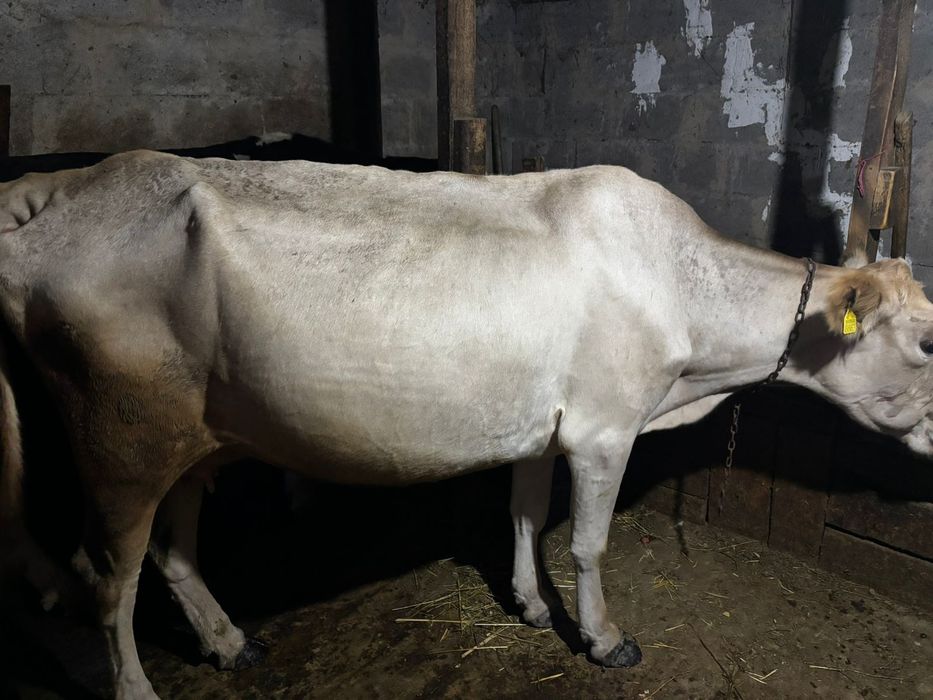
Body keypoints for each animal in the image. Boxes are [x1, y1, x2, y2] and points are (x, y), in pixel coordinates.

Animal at [0, 151, 931, 699]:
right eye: (925, 342)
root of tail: (58, 208)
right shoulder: (604, 428)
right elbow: (587, 542)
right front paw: (602, 639)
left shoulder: (543, 425)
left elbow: (523, 512)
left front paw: (529, 603)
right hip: (119, 440)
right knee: (107, 577)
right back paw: (138, 686)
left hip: (194, 436)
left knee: (173, 551)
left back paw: (230, 643)